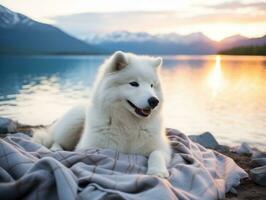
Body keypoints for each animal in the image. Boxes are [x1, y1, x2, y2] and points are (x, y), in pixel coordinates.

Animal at [32, 51, 170, 178]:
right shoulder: (88, 147)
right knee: (55, 140)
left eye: (152, 85)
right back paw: (56, 149)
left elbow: (156, 154)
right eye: (134, 84)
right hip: (73, 122)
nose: (154, 101)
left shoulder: (163, 148)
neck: (128, 123)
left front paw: (158, 171)